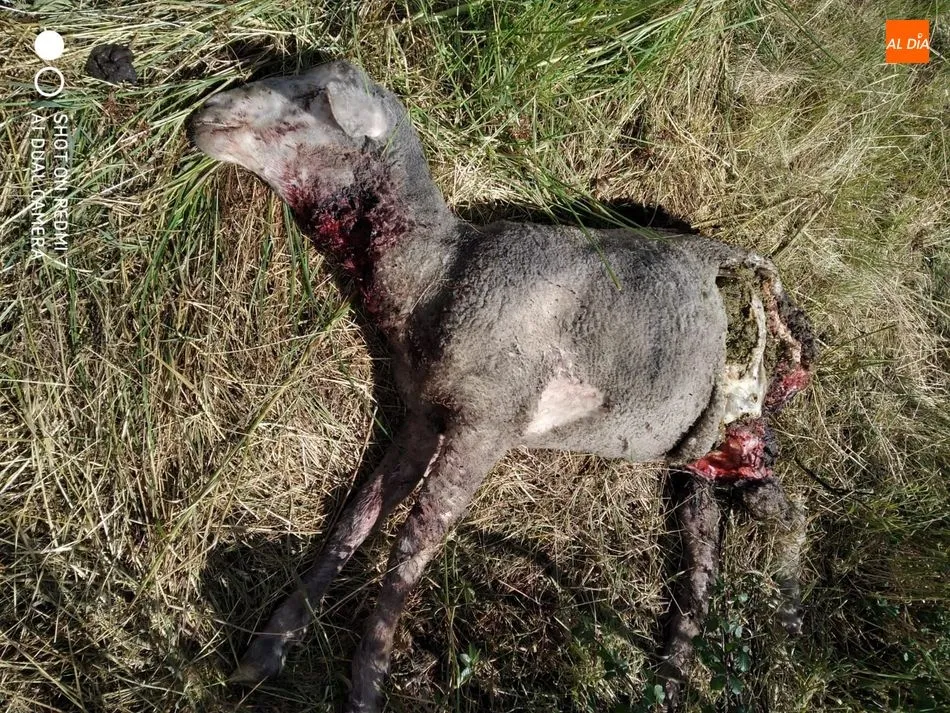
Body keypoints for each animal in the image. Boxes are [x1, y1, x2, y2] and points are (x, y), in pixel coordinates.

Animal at [188, 59, 816, 712]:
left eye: (312, 99)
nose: (200, 118)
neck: (437, 274)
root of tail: (783, 307)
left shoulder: (488, 424)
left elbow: (416, 540)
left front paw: (367, 681)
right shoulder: (422, 414)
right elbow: (360, 515)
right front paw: (271, 645)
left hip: (741, 423)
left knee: (788, 517)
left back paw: (788, 626)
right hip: (708, 454)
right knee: (710, 538)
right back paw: (673, 669)